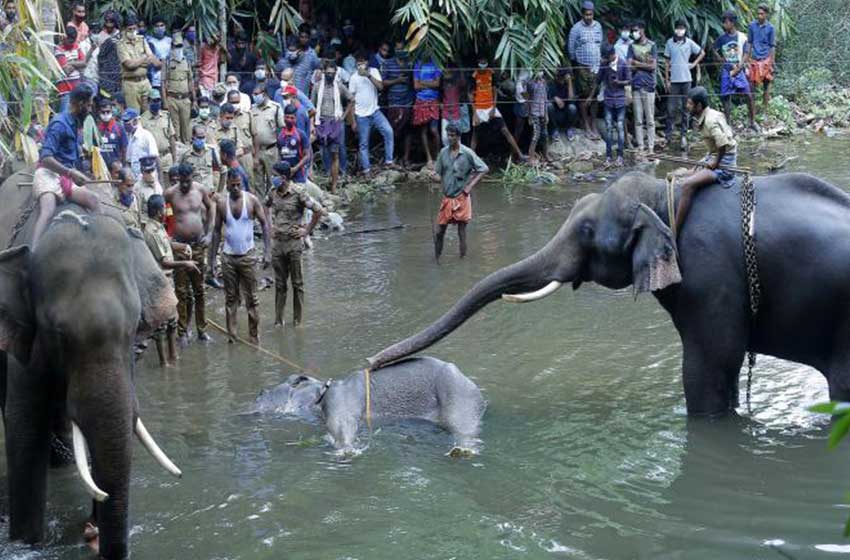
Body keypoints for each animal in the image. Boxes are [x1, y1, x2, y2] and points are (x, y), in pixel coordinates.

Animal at [0, 168, 184, 556]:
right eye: (56, 332)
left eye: (134, 326)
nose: (92, 536)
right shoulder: (24, 338)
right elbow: (24, 432)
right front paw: (26, 544)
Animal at [252, 358, 484, 456]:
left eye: (264, 393)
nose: (259, 392)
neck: (323, 389)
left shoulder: (340, 400)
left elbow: (342, 424)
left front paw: (347, 450)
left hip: (457, 394)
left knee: (463, 425)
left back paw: (462, 450)